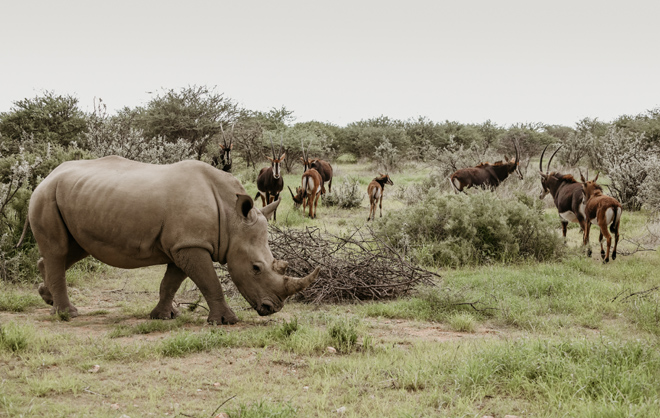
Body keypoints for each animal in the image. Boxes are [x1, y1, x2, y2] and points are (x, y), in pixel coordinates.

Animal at [27, 157, 320, 324]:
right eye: (256, 268)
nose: (273, 308)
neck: (232, 217)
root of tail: (46, 176)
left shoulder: (184, 244)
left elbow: (171, 282)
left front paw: (163, 317)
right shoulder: (190, 244)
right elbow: (209, 281)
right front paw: (226, 321)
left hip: (73, 197)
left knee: (72, 250)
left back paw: (47, 298)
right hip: (46, 196)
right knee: (59, 250)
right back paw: (67, 315)